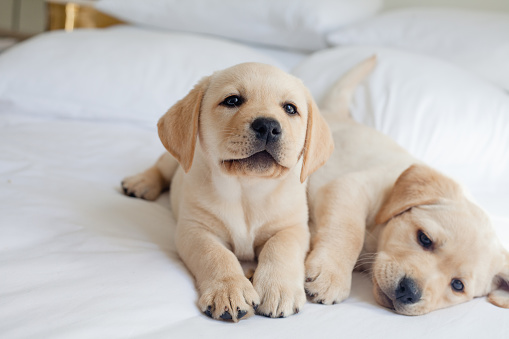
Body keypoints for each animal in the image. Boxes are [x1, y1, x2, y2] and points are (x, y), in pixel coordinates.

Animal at [120, 63, 334, 322]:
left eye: (290, 108)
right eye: (232, 100)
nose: (268, 126)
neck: (246, 189)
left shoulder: (293, 227)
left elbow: (280, 248)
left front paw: (278, 288)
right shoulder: (195, 229)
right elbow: (216, 255)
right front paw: (229, 290)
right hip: (177, 159)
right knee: (162, 166)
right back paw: (141, 182)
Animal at [304, 57, 506, 316]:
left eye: (457, 285)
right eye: (425, 239)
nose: (409, 291)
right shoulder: (351, 186)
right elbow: (349, 230)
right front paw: (332, 274)